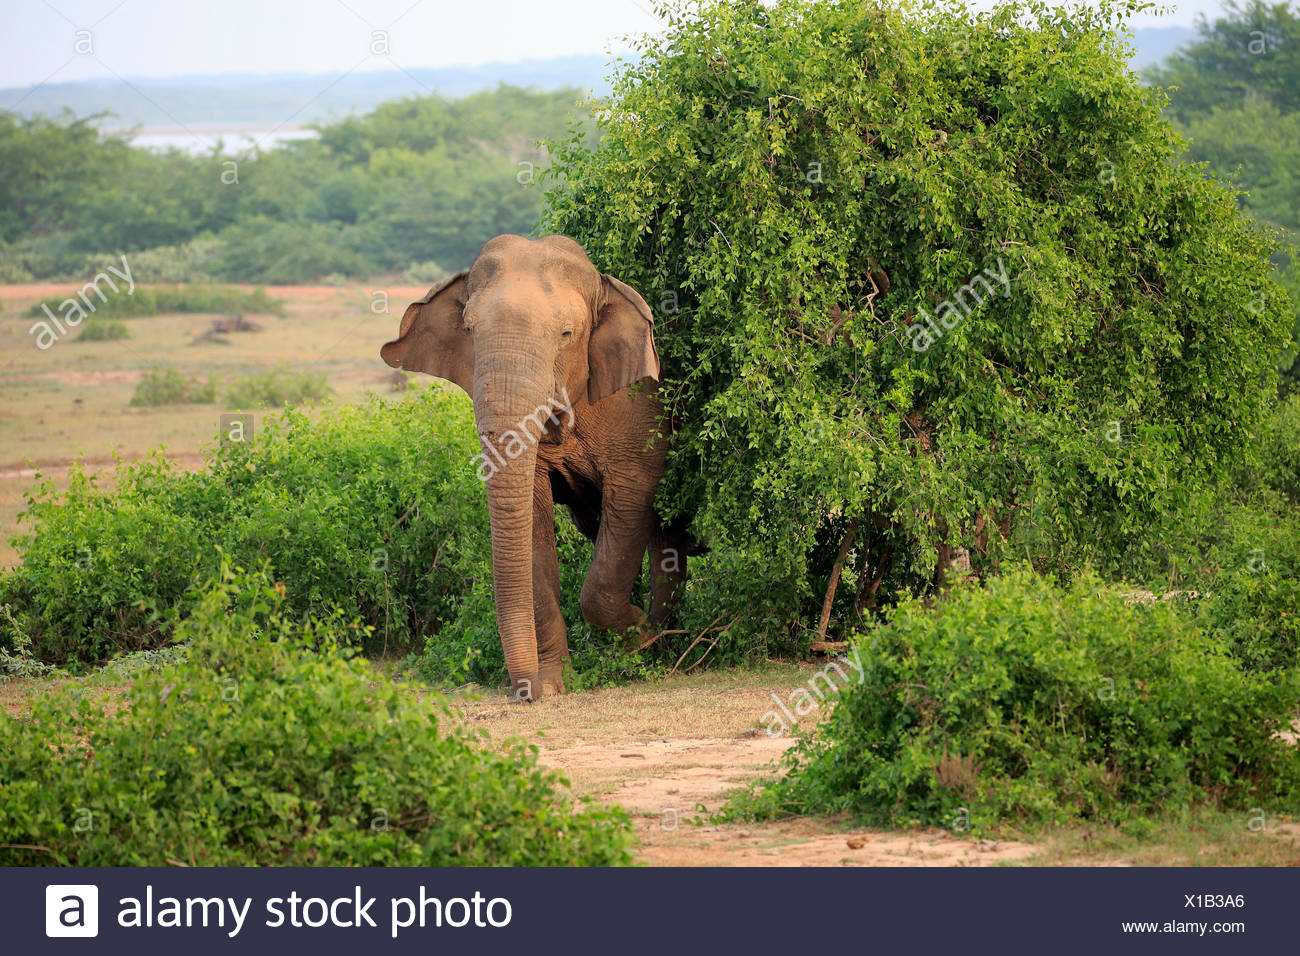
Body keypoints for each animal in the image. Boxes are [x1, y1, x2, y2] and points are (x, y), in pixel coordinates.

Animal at [379, 234, 691, 697]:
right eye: (469, 331)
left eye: (566, 335)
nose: (524, 694)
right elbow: (532, 524)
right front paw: (556, 684)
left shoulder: (643, 410)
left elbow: (630, 505)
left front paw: (636, 635)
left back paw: (659, 641)